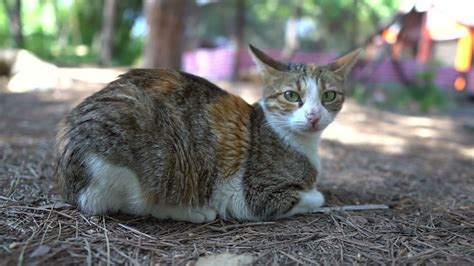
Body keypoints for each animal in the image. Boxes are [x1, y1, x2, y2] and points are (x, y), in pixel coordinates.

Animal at [54, 45, 360, 222]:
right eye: (292, 96)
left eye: (329, 96)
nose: (313, 116)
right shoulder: (256, 196)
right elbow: (312, 197)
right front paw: (315, 195)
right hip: (148, 149)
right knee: (141, 203)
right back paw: (195, 211)